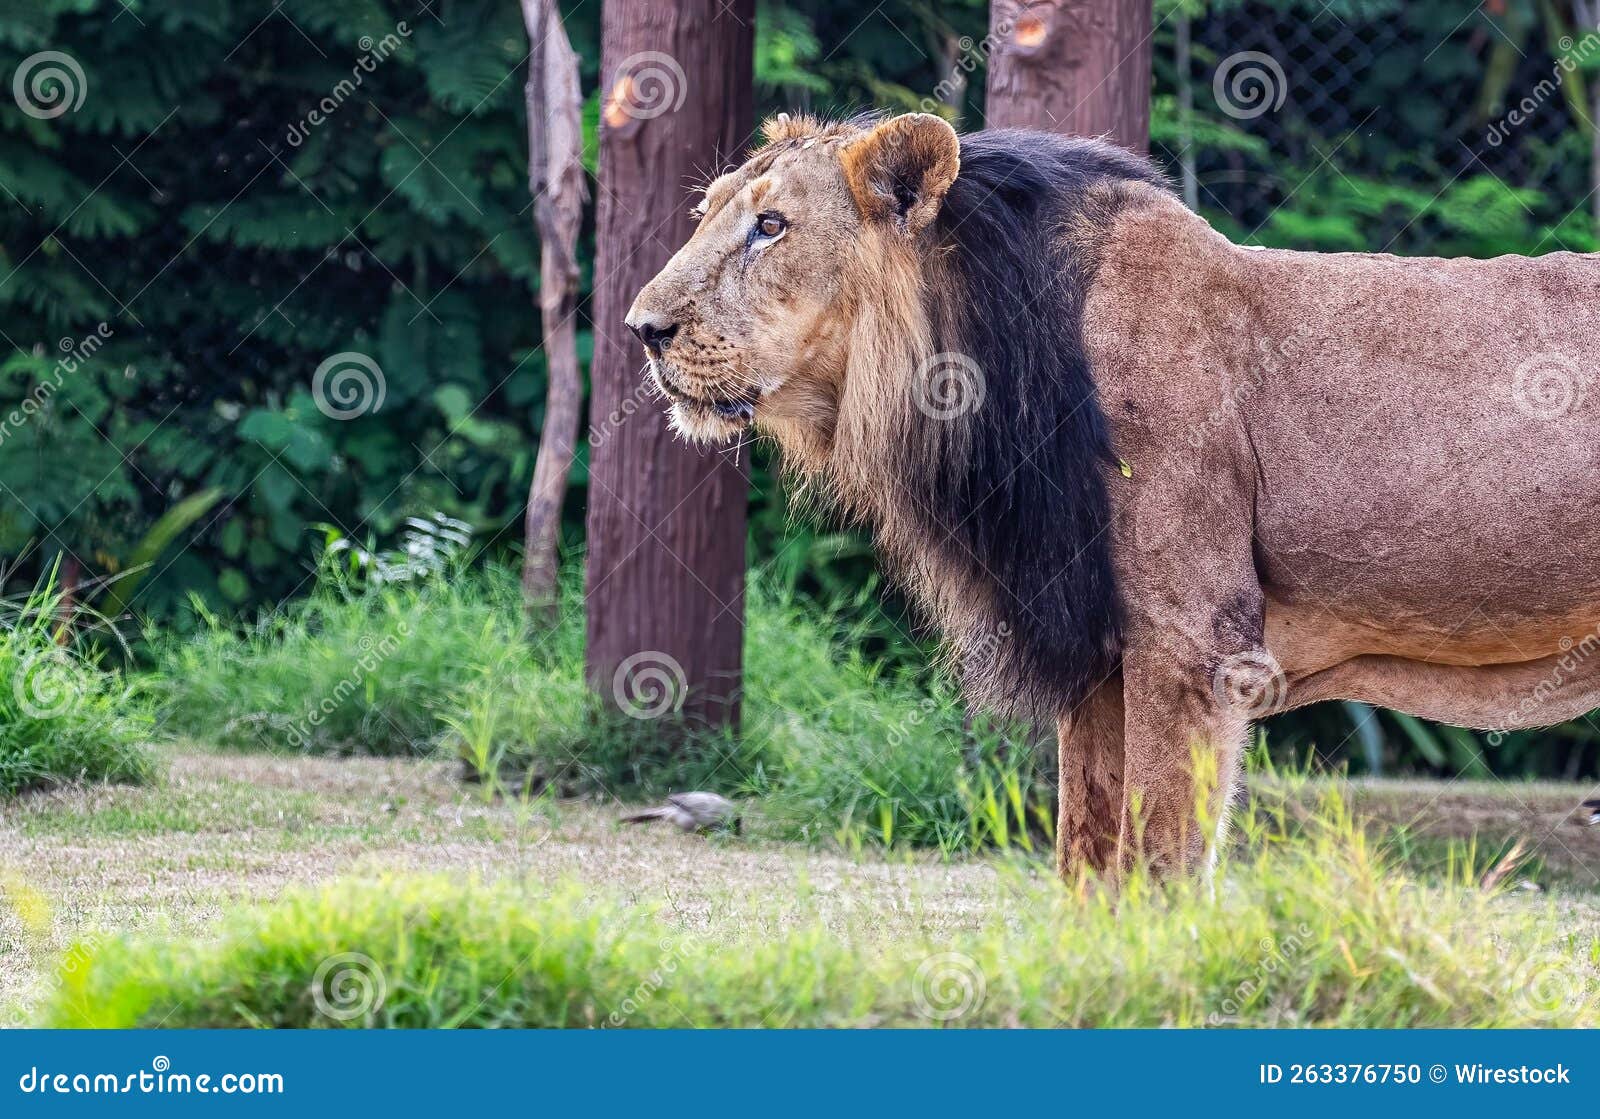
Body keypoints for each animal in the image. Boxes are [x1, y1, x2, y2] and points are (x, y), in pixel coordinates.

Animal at [626, 111, 1600, 878]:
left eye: (772, 226)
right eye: (707, 214)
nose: (642, 327)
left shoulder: (1196, 645)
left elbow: (1157, 867)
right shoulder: (1096, 646)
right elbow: (1088, 863)